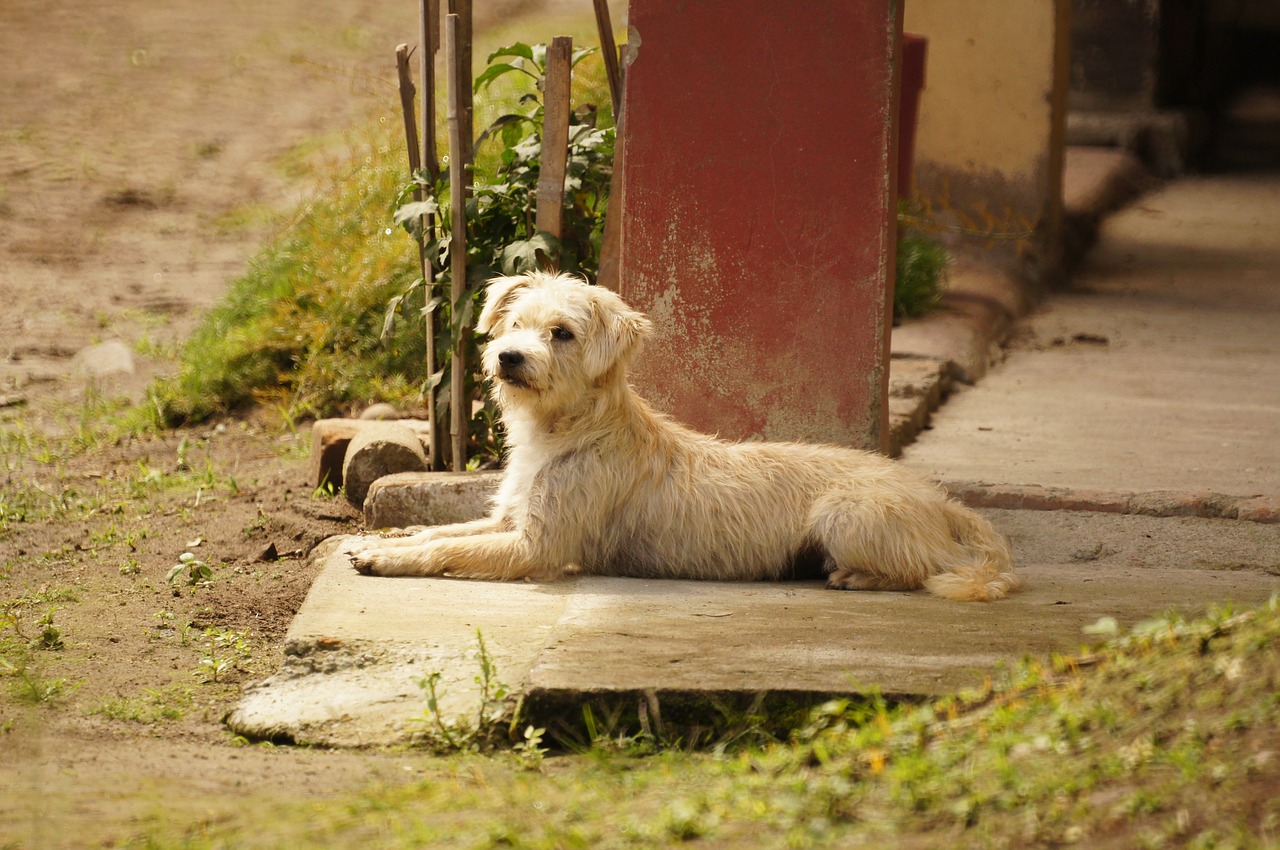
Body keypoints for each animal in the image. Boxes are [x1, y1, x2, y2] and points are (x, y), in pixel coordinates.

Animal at [348, 270, 1018, 596]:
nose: (509, 358)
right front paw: (391, 537)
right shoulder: (507, 518)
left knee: (925, 568)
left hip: (846, 515)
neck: (568, 430)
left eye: (562, 333)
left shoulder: (538, 547)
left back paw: (859, 576)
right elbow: (445, 529)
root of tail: (939, 500)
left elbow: (449, 550)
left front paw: (387, 558)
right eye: (514, 323)